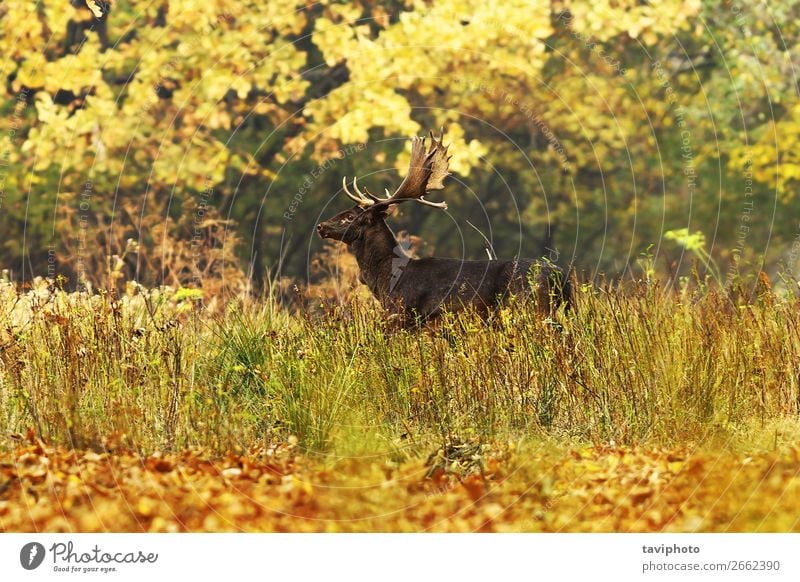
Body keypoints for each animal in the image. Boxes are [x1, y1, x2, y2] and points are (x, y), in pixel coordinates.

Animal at [316, 130, 572, 326]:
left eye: (349, 217)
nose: (320, 226)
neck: (386, 280)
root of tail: (562, 276)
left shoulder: (402, 315)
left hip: (531, 309)